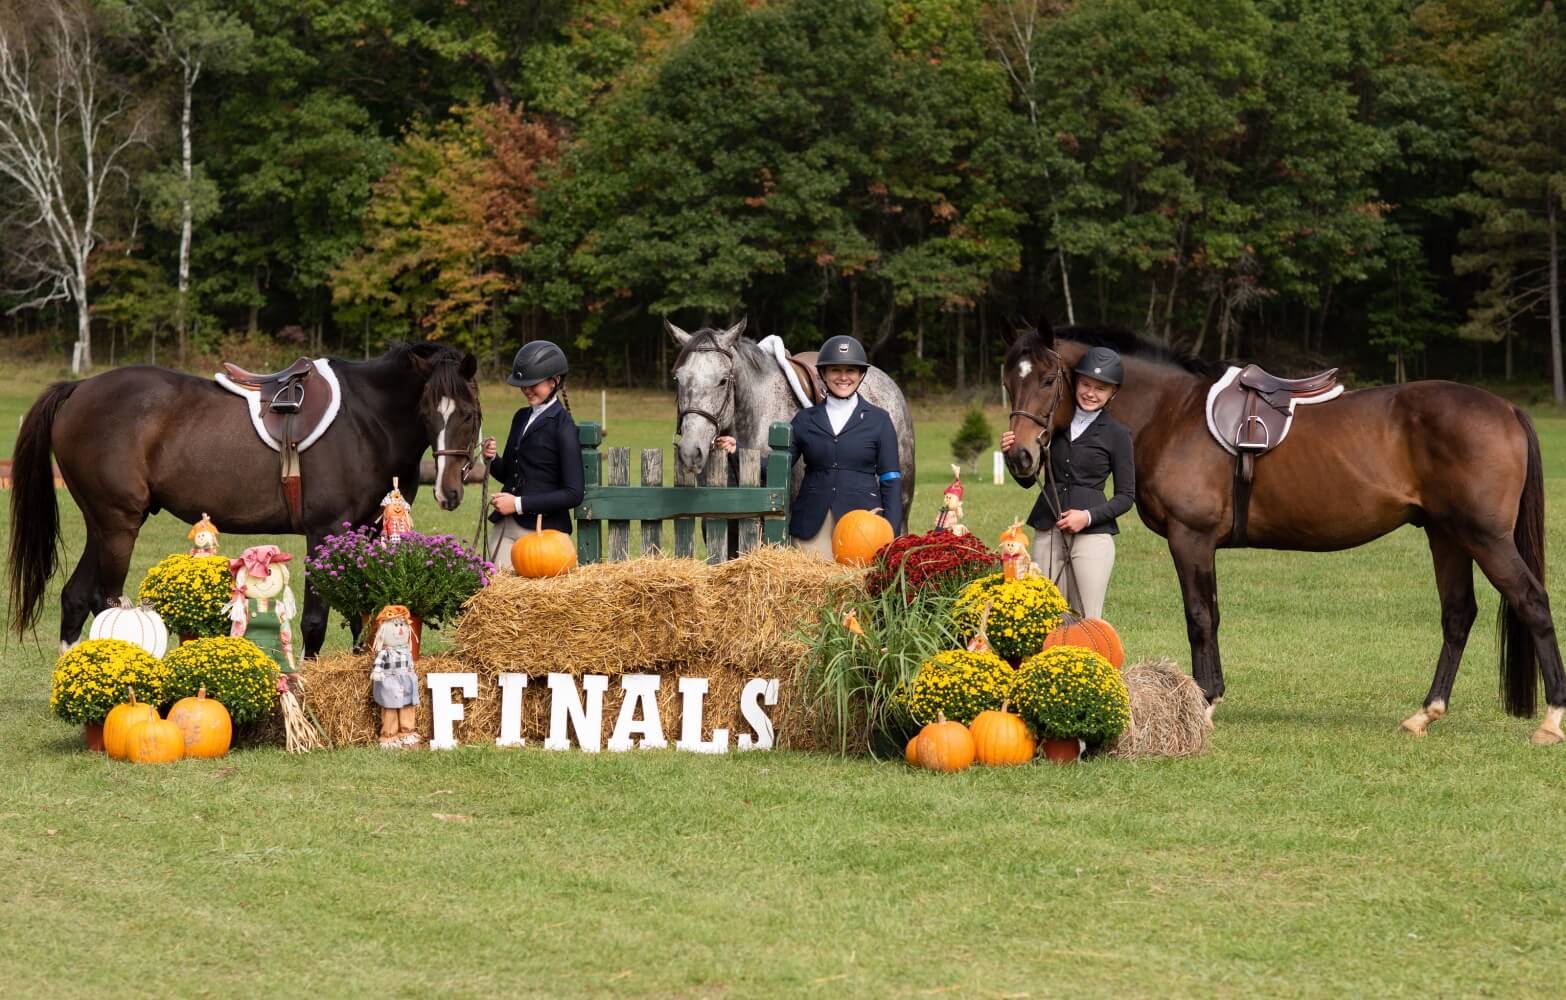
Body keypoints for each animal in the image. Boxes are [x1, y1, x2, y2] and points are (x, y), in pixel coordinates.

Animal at [9, 341, 479, 660]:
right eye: (428, 412)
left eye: (469, 414)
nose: (450, 491)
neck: (366, 419)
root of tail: (79, 388)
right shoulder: (324, 531)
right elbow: (315, 620)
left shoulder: (367, 530)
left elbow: (364, 610)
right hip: (118, 524)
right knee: (105, 602)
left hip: (102, 524)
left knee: (75, 597)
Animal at [1002, 320, 1566, 744]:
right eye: (1009, 378)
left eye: (1050, 379)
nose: (1020, 458)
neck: (1170, 413)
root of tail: (1506, 408)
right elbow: (1210, 616)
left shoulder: (1191, 538)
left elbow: (1201, 617)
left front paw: (1206, 702)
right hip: (1446, 534)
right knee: (1458, 615)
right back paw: (1424, 714)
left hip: (1484, 537)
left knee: (1532, 602)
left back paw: (1551, 720)